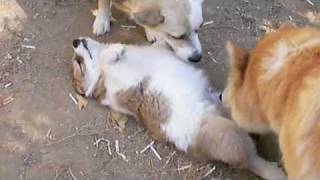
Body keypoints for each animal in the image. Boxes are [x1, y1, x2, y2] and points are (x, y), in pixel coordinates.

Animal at [71, 37, 286, 179]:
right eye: (78, 64)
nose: (75, 41)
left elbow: (162, 43)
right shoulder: (120, 87)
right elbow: (107, 63)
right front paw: (115, 51)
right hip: (228, 135)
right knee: (251, 154)